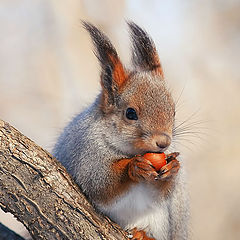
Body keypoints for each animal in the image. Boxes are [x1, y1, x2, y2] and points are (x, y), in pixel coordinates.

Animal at [52, 22, 189, 240]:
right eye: (130, 113)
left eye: (173, 111)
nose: (164, 143)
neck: (128, 151)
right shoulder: (87, 155)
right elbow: (102, 184)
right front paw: (134, 167)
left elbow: (162, 192)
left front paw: (173, 167)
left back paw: (142, 234)